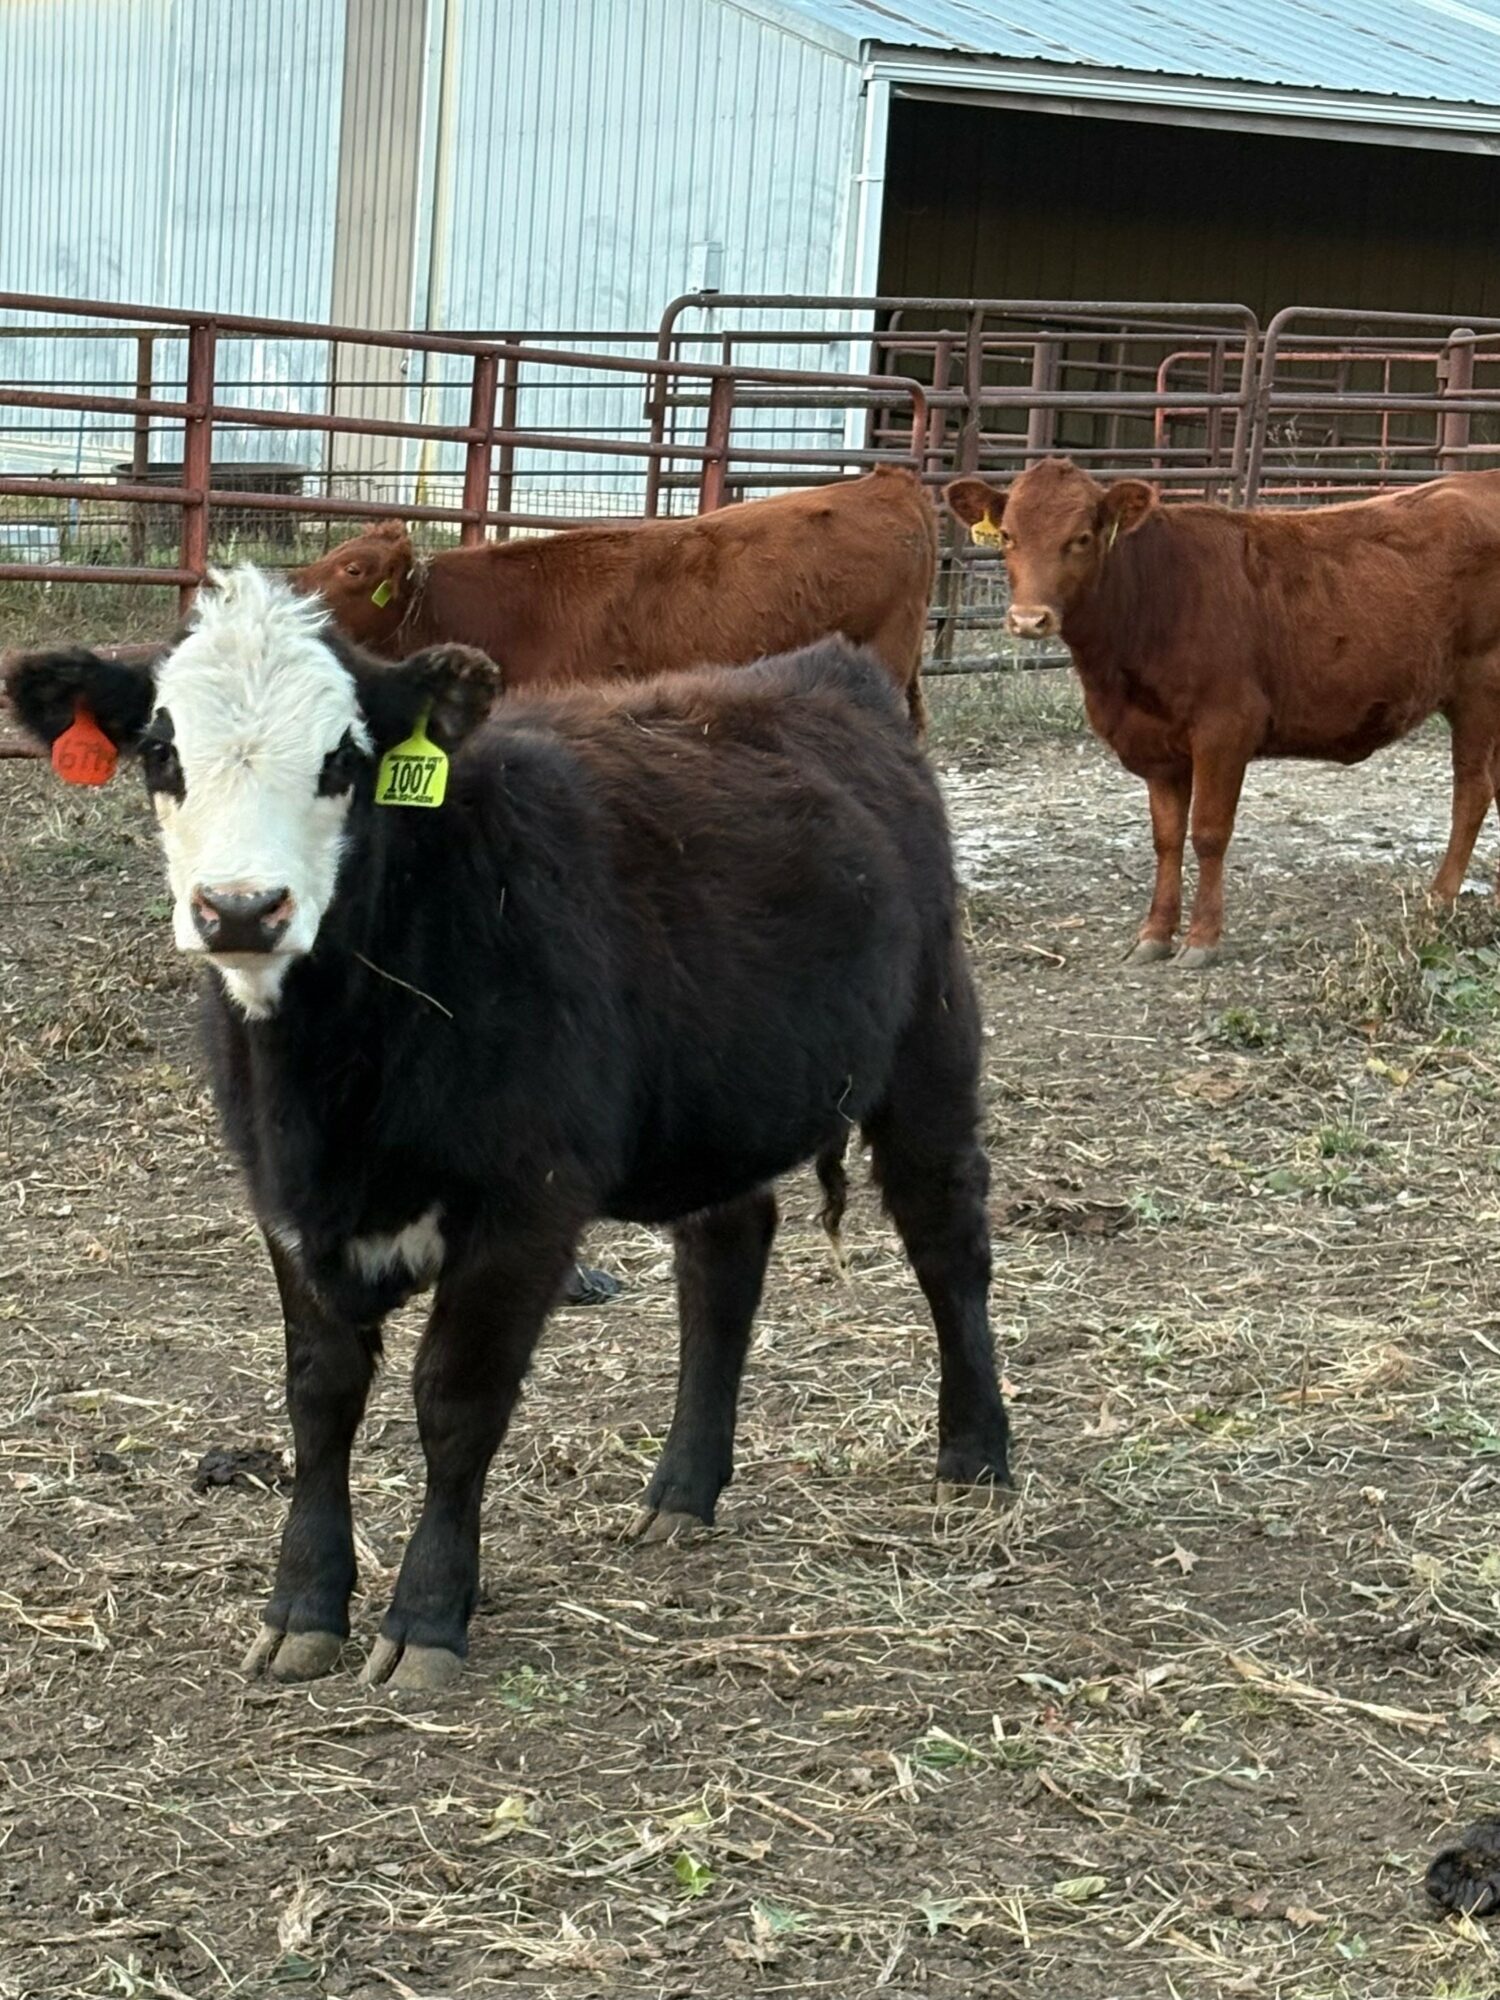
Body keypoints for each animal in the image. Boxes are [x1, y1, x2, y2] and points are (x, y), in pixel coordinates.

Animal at [6, 569, 1009, 1691]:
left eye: (344, 759)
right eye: (162, 752)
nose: (241, 908)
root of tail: (828, 670)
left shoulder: (526, 1205)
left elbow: (456, 1399)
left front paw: (427, 1617)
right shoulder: (284, 1202)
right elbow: (320, 1397)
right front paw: (302, 1604)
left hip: (929, 1040)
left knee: (946, 1234)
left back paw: (976, 1456)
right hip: (719, 1097)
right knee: (725, 1259)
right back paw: (681, 1490)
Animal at [946, 458, 1500, 964]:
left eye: (1081, 538)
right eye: (1008, 536)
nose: (1028, 619)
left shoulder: (1225, 728)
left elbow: (1209, 834)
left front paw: (1202, 939)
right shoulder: (1156, 745)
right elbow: (1167, 838)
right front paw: (1155, 934)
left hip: (1478, 690)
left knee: (1472, 791)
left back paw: (1439, 899)